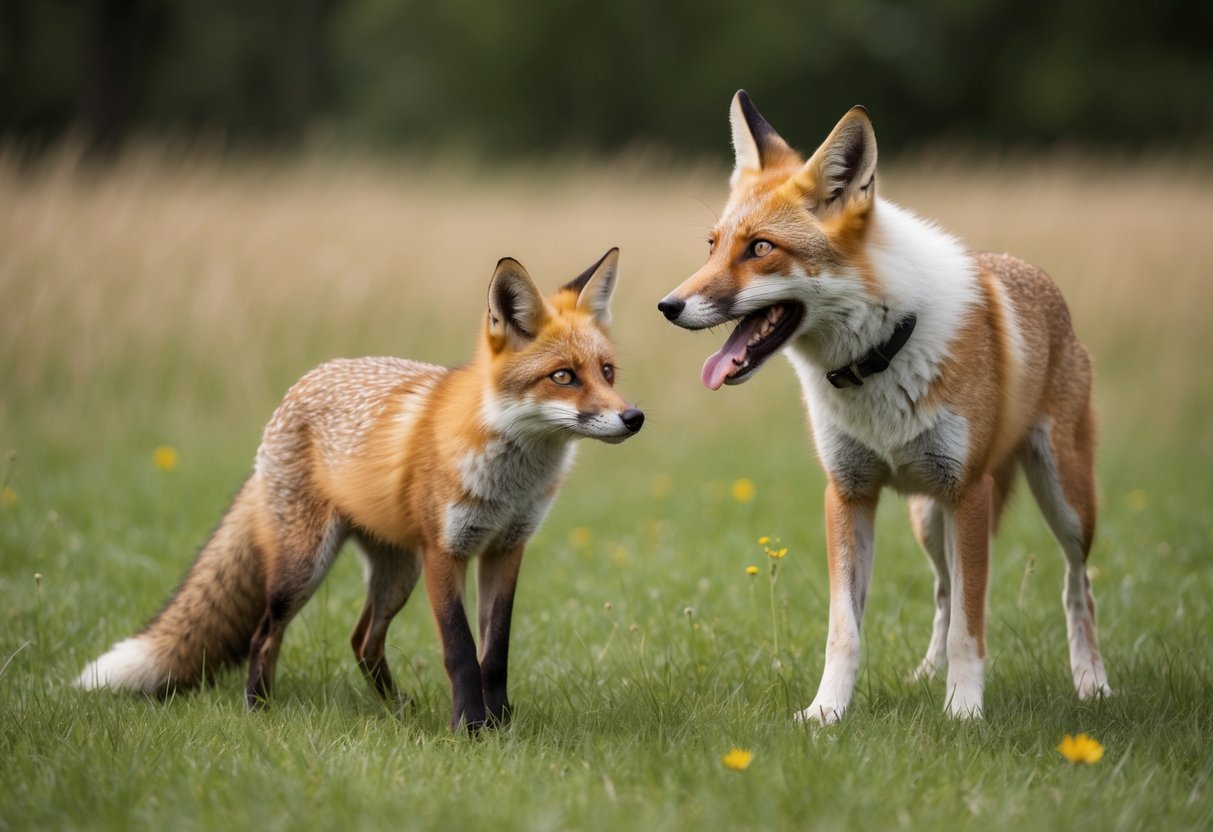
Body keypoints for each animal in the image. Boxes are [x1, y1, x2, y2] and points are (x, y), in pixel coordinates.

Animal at [78, 249, 645, 729]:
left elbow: (495, 652)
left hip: (397, 572)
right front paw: (470, 729)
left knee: (362, 641)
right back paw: (259, 710)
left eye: (607, 372)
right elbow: (461, 651)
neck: (511, 480)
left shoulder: (506, 549)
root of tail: (298, 388)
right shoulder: (445, 552)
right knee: (265, 633)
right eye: (564, 377)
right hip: (305, 567)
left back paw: (398, 710)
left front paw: (500, 724)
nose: (633, 417)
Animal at [657, 91, 1110, 723]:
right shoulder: (848, 493)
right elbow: (844, 632)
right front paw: (825, 714)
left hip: (1062, 501)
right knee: (944, 591)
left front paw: (964, 714)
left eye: (761, 248)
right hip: (929, 521)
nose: (667, 306)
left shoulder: (967, 492)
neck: (876, 361)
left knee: (1076, 587)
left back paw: (1091, 682)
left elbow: (971, 629)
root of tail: (1034, 273)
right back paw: (926, 676)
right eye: (713, 245)